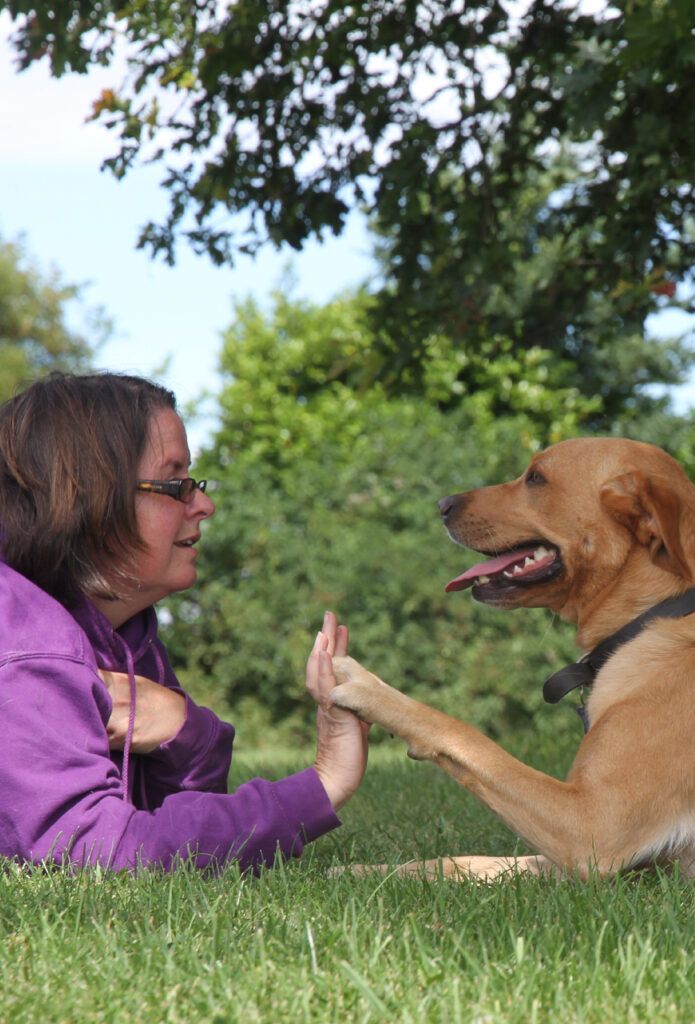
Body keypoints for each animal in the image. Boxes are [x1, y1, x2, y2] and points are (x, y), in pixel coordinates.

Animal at [329, 436, 695, 876]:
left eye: (536, 477)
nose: (442, 504)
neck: (652, 614)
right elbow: (464, 862)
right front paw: (364, 873)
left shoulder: (591, 825)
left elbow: (469, 739)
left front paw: (373, 691)